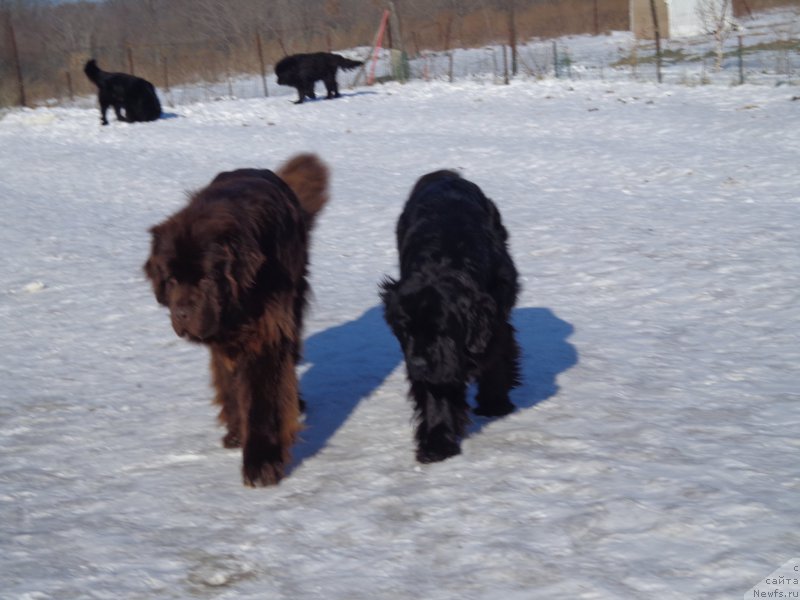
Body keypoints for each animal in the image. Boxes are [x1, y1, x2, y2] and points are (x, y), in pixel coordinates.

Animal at [144, 155, 328, 488]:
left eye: (205, 279)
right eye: (171, 279)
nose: (182, 313)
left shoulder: (266, 333)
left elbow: (262, 398)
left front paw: (262, 463)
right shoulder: (223, 340)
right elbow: (231, 383)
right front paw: (239, 432)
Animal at [382, 171, 524, 462]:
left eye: (442, 330)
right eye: (406, 331)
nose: (418, 364)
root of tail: (445, 174)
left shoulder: (494, 321)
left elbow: (496, 356)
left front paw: (495, 403)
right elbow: (438, 394)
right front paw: (437, 442)